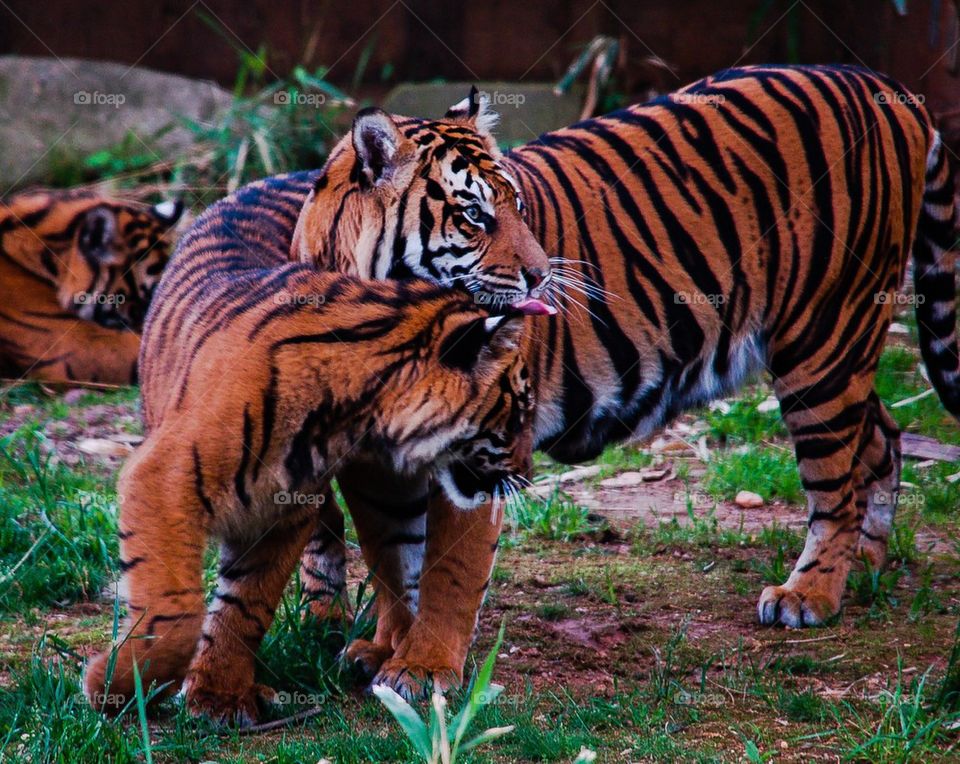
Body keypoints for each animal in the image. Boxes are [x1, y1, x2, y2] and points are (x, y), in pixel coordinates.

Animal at [82, 173, 535, 724]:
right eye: (518, 412)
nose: (529, 473)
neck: (350, 409)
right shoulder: (165, 479)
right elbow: (177, 614)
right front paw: (113, 684)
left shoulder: (279, 508)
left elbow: (247, 602)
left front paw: (217, 694)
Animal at [289, 64, 959, 699]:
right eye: (474, 215)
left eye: (519, 209)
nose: (541, 276)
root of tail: (884, 84)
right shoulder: (369, 462)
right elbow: (391, 557)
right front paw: (385, 648)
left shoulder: (478, 445)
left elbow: (446, 569)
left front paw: (424, 669)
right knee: (882, 433)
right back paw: (863, 566)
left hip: (824, 337)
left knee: (835, 476)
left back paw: (811, 594)